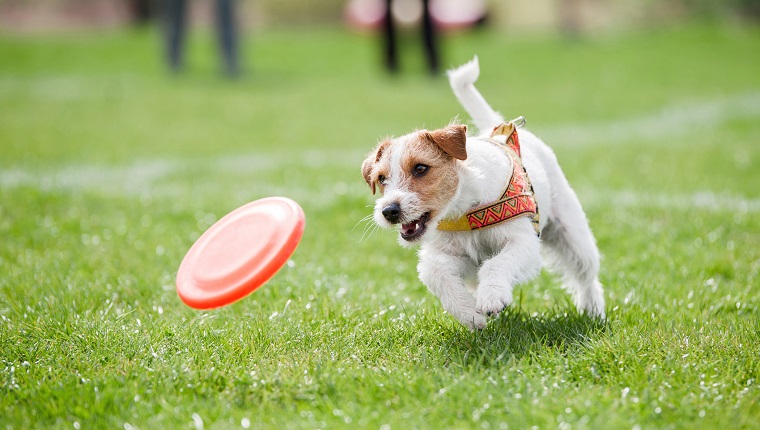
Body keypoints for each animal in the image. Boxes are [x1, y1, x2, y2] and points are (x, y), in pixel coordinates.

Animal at [362, 57, 604, 330]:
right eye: (381, 178)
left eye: (421, 168)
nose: (389, 211)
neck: (464, 209)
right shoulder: (453, 256)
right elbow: (435, 272)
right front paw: (470, 313)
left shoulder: (523, 242)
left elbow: (496, 263)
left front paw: (492, 297)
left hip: (573, 235)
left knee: (587, 276)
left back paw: (593, 310)